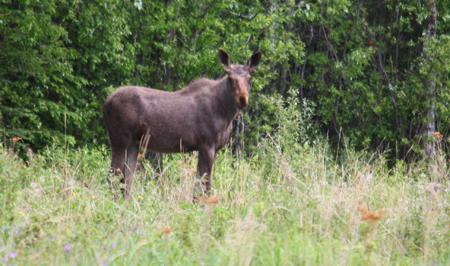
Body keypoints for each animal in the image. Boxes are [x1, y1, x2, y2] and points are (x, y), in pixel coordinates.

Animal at [103, 49, 262, 200]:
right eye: (230, 77)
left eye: (250, 77)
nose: (242, 99)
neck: (226, 114)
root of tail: (106, 103)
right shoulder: (206, 145)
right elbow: (204, 184)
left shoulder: (214, 148)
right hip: (119, 140)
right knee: (112, 176)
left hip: (133, 144)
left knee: (126, 180)